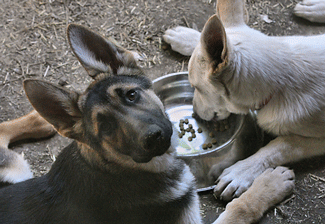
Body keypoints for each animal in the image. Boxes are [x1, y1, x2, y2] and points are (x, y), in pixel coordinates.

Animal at [0, 23, 294, 223]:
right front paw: (270, 184)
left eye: (131, 95)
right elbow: (239, 209)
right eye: (105, 127)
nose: (153, 137)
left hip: (16, 171)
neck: (121, 169)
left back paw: (39, 119)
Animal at [163, 0, 324, 201]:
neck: (281, 83)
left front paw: (241, 172)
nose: (195, 114)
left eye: (196, 87)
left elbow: (280, 146)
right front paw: (186, 37)